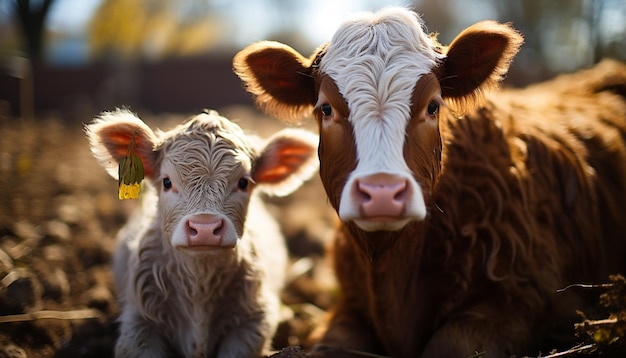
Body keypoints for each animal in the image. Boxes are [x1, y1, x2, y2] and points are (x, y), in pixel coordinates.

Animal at [233, 5, 624, 358]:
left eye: (433, 106)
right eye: (325, 108)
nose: (382, 193)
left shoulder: (530, 299)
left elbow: (450, 345)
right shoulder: (347, 304)